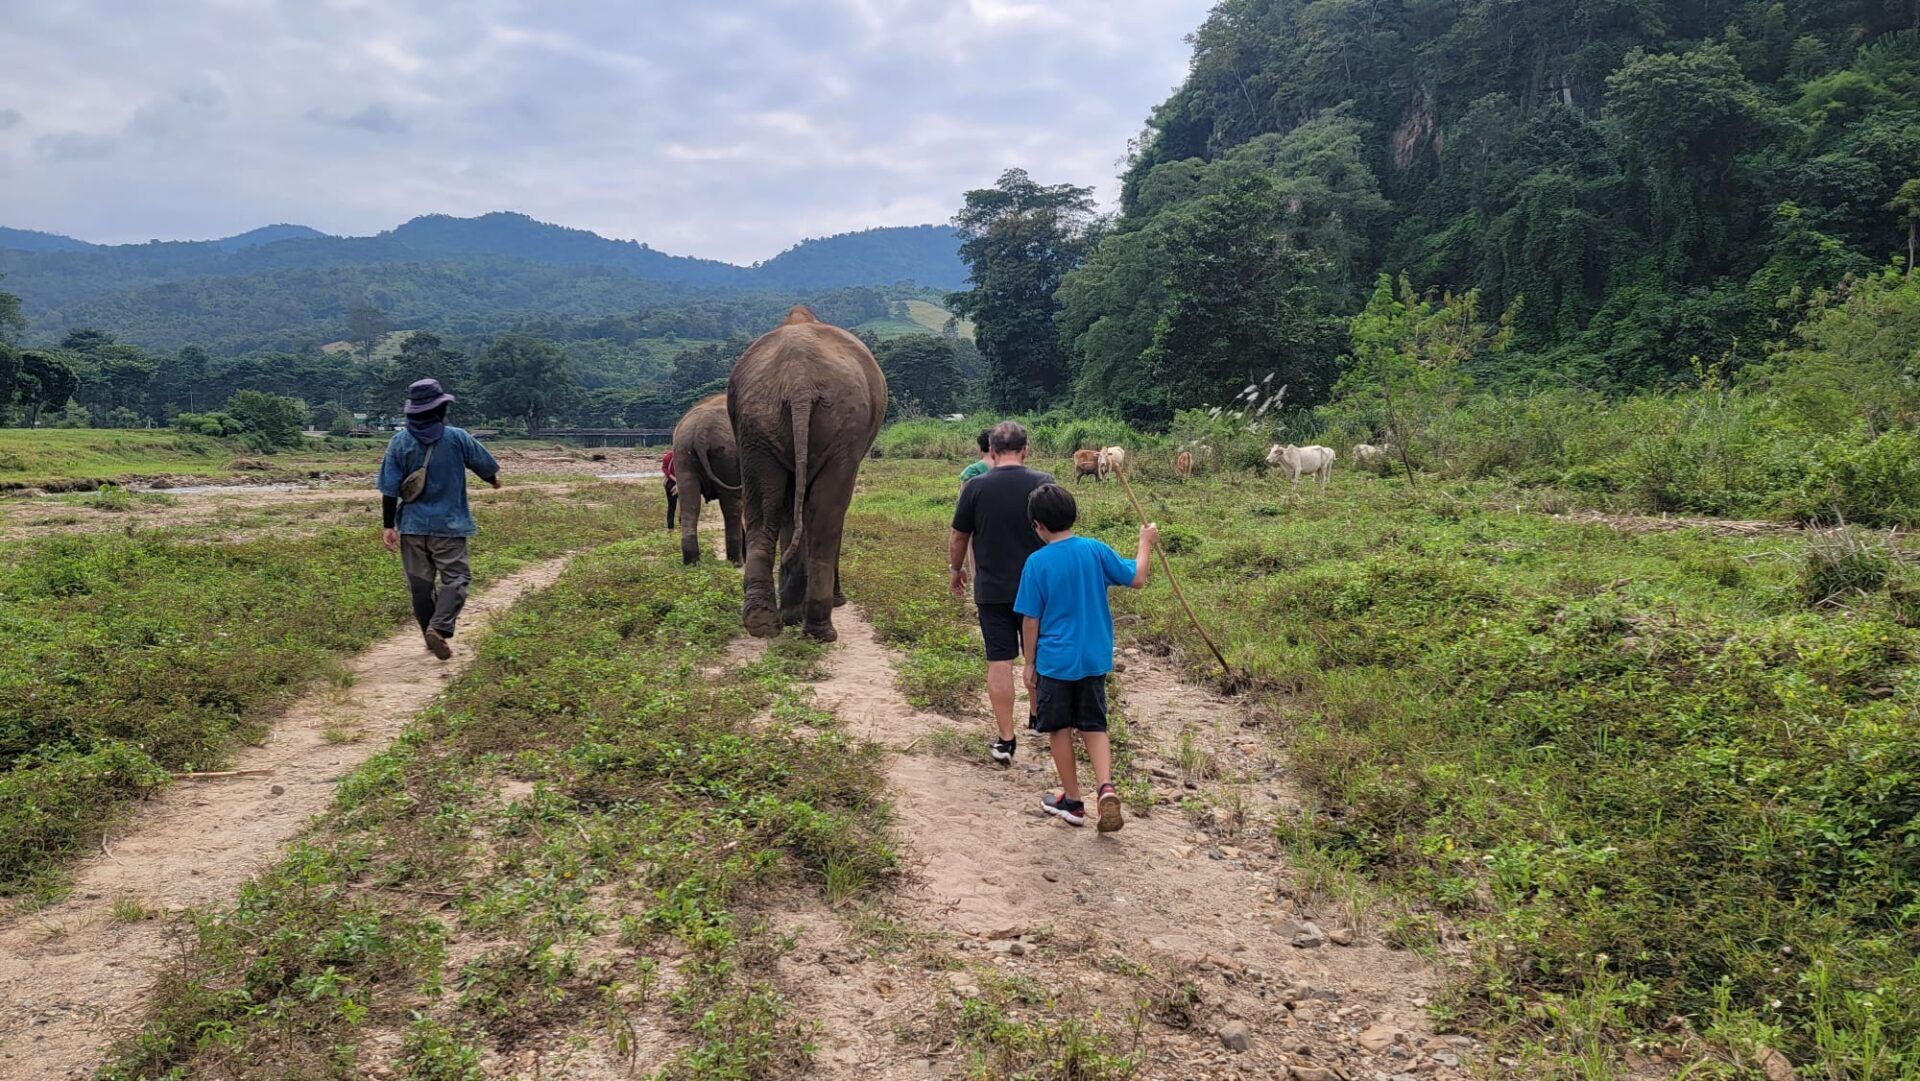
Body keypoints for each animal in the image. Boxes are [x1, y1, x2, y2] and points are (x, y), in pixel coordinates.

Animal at [670, 393, 744, 565]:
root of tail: (701, 431)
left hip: (682, 453)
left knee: (690, 505)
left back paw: (692, 562)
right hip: (728, 454)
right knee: (732, 506)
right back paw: (737, 562)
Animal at [727, 306, 887, 642]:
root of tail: (799, 382)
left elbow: (791, 510)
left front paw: (789, 614)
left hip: (756, 425)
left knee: (766, 513)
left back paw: (764, 621)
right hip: (842, 428)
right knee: (829, 512)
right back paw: (819, 630)